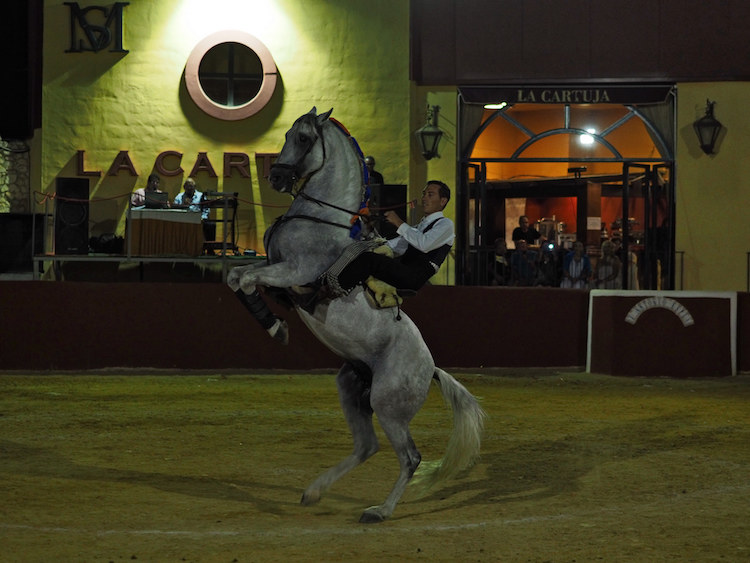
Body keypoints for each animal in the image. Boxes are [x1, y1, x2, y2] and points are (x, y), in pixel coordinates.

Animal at [229, 107, 488, 524]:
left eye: (303, 138)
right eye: (285, 134)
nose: (277, 177)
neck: (319, 218)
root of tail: (430, 369)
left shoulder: (294, 273)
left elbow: (247, 279)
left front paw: (277, 329)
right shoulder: (272, 266)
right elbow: (236, 277)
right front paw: (273, 325)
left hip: (387, 405)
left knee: (411, 457)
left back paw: (379, 511)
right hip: (351, 387)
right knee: (367, 446)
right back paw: (313, 492)